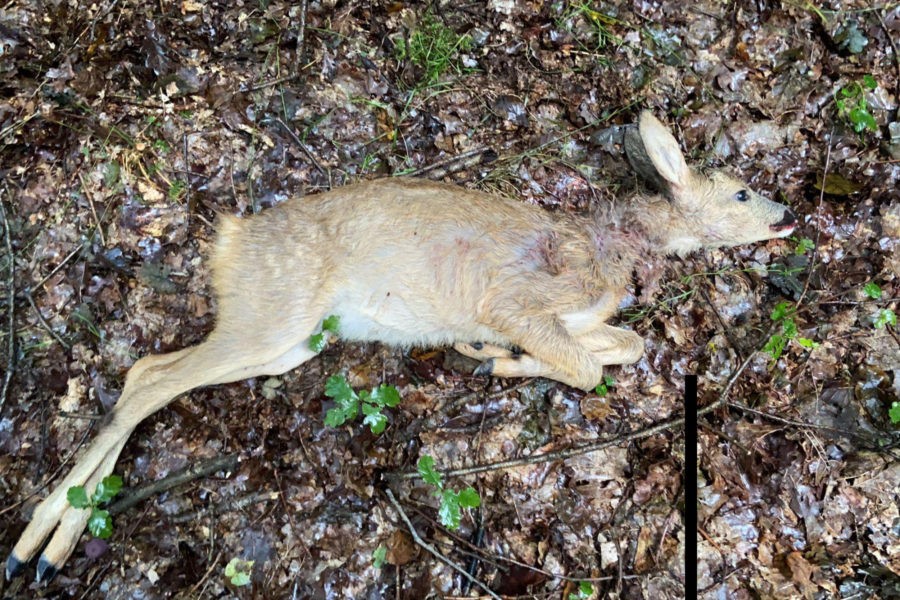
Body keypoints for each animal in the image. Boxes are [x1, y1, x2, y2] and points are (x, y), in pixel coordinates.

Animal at [6, 111, 797, 582]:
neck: (613, 251)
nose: (789, 214)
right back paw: (33, 548)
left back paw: (49, 546)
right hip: (274, 313)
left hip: (286, 340)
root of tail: (228, 240)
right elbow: (585, 368)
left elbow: (624, 346)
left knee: (149, 366)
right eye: (741, 193)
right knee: (149, 379)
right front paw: (497, 357)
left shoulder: (579, 317)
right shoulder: (517, 300)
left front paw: (497, 357)